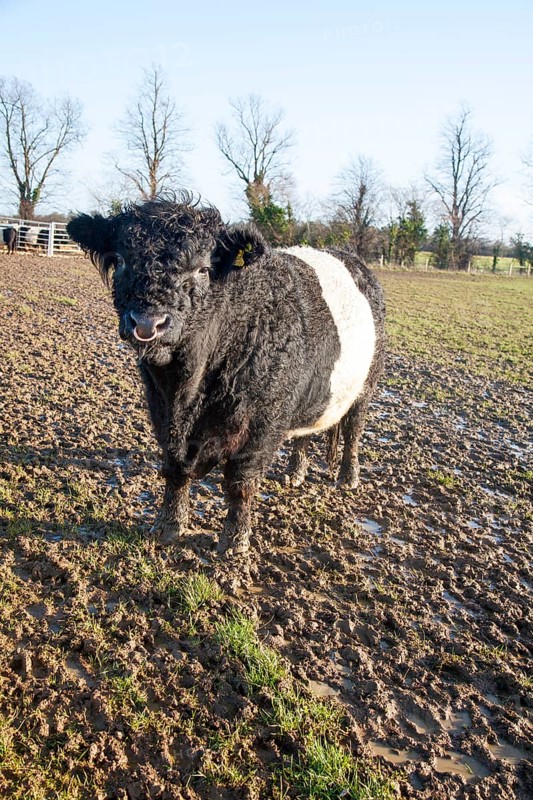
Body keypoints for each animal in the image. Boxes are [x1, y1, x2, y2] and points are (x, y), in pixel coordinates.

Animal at [67, 196, 385, 557]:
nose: (148, 323)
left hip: (366, 386)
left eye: (203, 269)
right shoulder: (162, 411)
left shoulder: (262, 424)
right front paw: (168, 525)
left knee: (353, 431)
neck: (187, 388)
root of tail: (349, 257)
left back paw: (348, 477)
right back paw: (295, 473)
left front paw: (234, 542)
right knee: (306, 433)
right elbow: (174, 470)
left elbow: (240, 482)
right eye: (120, 260)